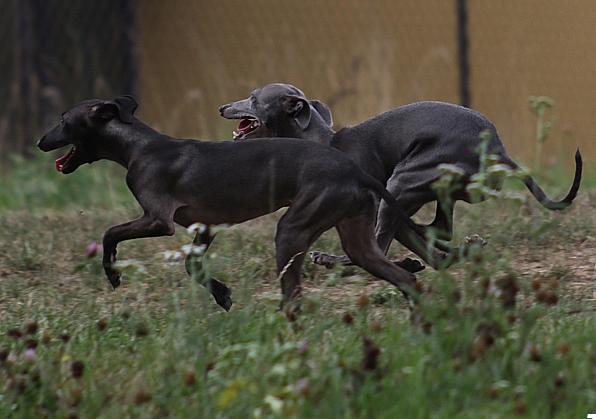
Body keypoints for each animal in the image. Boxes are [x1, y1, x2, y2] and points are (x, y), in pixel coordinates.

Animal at [37, 97, 452, 310]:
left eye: (64, 120)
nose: (40, 142)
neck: (141, 147)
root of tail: (355, 172)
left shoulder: (158, 220)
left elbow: (110, 233)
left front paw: (112, 274)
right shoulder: (204, 226)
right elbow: (192, 266)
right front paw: (221, 294)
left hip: (292, 231)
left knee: (294, 298)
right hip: (357, 239)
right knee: (407, 278)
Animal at [219, 85, 584, 268]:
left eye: (253, 98)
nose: (222, 107)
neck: (323, 142)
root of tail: (497, 150)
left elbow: (378, 246)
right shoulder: (393, 210)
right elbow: (426, 251)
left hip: (405, 179)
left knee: (389, 241)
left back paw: (333, 259)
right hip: (419, 189)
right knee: (437, 230)